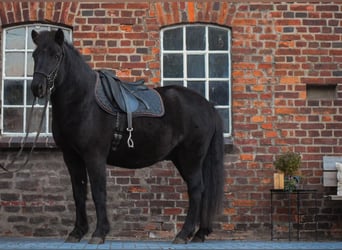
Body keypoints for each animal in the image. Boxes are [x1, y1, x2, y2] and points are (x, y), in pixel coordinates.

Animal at [30, 28, 224, 244]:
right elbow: (79, 193)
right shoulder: (72, 157)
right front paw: (77, 232)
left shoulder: (94, 156)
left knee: (196, 190)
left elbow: (98, 192)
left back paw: (183, 234)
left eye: (56, 55)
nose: (37, 87)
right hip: (185, 160)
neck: (83, 101)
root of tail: (207, 105)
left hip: (191, 158)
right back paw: (199, 234)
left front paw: (99, 233)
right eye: (34, 55)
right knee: (203, 191)